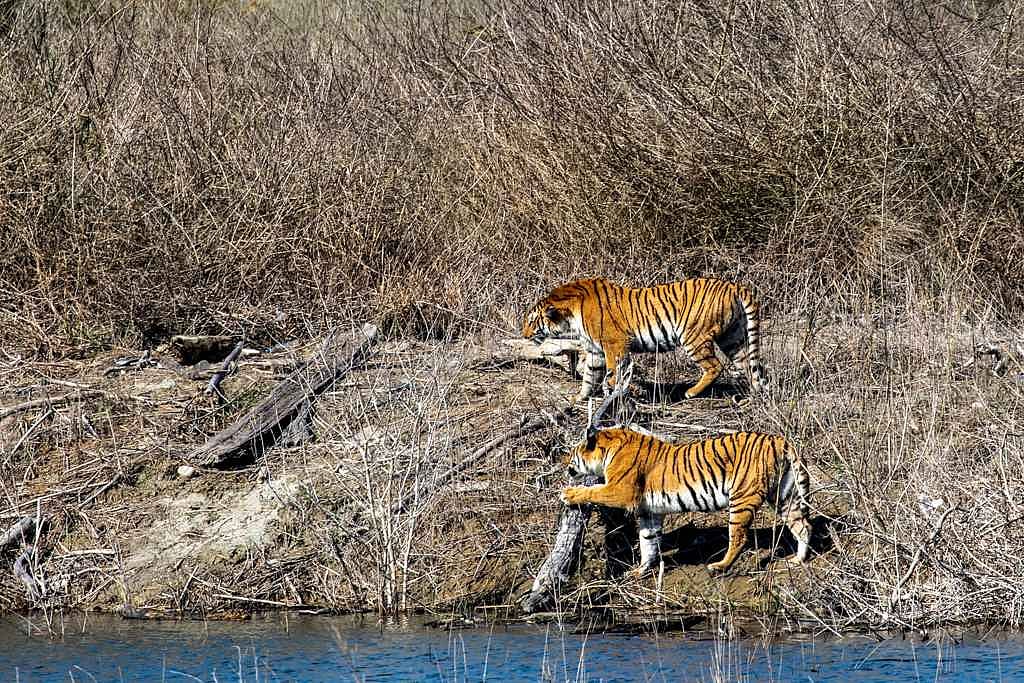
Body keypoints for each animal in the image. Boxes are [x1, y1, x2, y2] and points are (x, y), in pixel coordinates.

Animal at [521, 277, 767, 404]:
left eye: (531, 321)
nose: (523, 334)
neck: (571, 317)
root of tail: (734, 286)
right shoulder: (595, 351)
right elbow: (589, 377)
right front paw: (579, 397)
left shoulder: (614, 345)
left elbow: (612, 374)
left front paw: (620, 392)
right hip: (734, 338)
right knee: (750, 367)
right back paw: (752, 397)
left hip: (693, 337)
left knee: (715, 366)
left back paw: (691, 393)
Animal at [559, 428, 811, 574]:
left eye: (571, 453)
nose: (563, 462)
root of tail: (780, 441)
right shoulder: (649, 511)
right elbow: (648, 541)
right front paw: (641, 570)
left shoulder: (621, 490)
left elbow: (593, 490)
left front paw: (568, 494)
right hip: (784, 496)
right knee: (804, 526)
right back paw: (798, 560)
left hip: (742, 497)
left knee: (739, 537)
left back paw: (719, 566)